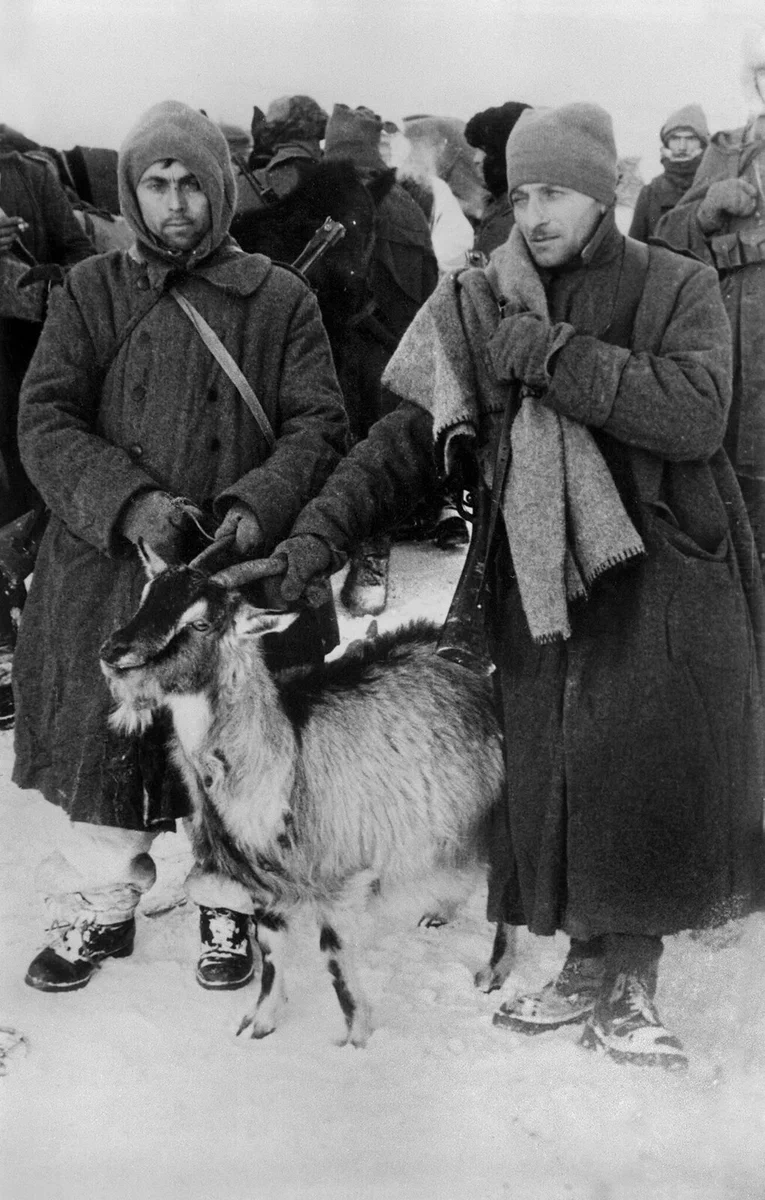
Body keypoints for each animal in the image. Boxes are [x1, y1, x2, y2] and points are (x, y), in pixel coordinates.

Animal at [97, 542, 515, 1041]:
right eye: (145, 597)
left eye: (200, 623)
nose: (112, 652)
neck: (283, 756)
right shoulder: (264, 887)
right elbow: (272, 951)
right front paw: (260, 1023)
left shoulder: (340, 875)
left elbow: (333, 955)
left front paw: (357, 1033)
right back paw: (441, 912)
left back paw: (494, 971)